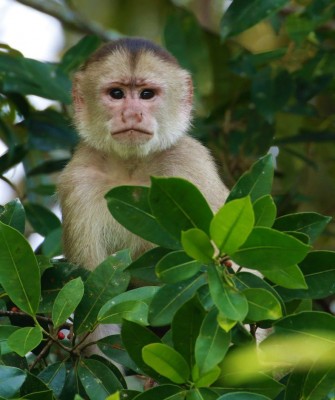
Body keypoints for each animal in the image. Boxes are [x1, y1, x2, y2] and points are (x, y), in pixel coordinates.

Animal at [59, 37, 230, 272]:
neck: (131, 168)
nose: (132, 113)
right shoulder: (77, 182)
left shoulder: (191, 162)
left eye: (146, 94)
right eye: (116, 94)